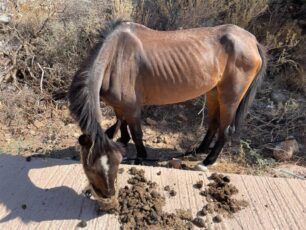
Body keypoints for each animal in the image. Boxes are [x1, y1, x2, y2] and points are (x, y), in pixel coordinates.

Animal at [68, 20, 264, 199]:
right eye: (89, 167)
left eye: (116, 164)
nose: (107, 194)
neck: (115, 58)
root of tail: (252, 41)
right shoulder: (120, 106)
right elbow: (121, 124)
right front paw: (123, 141)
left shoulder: (132, 108)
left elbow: (136, 133)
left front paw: (140, 158)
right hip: (214, 92)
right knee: (214, 123)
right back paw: (198, 150)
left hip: (230, 96)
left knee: (226, 129)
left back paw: (207, 161)